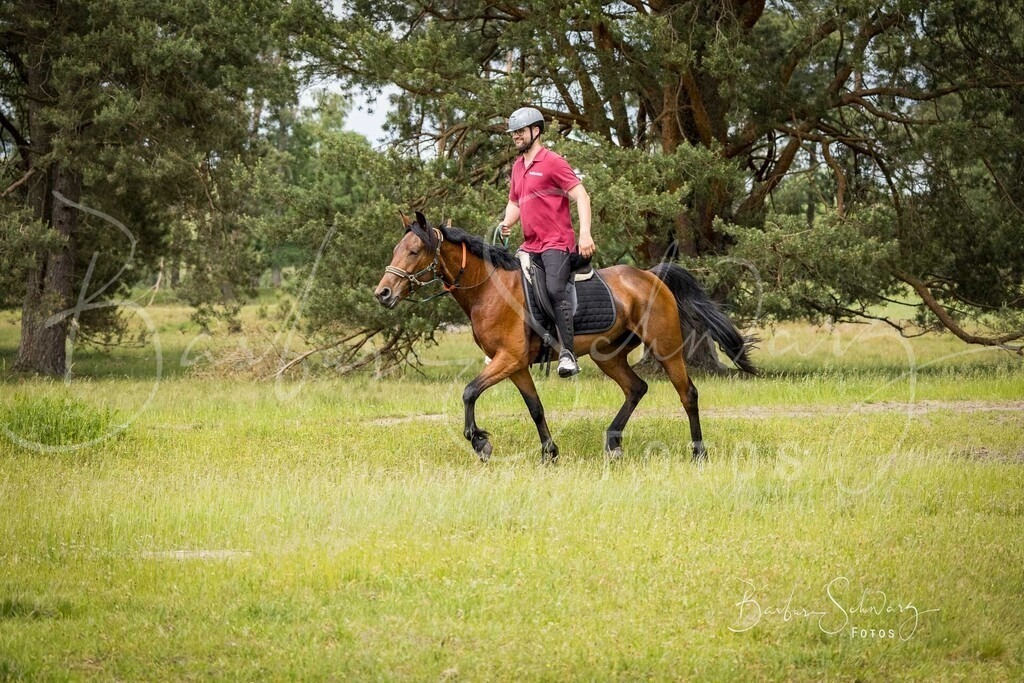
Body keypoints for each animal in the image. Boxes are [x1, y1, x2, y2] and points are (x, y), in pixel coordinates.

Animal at [374, 211, 756, 463]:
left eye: (414, 251)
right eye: (395, 250)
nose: (383, 293)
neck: (489, 288)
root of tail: (650, 275)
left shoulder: (508, 358)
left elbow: (469, 391)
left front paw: (479, 442)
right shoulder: (515, 365)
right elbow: (535, 408)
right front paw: (549, 453)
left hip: (666, 348)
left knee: (687, 394)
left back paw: (698, 453)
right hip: (609, 355)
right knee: (636, 388)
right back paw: (613, 443)